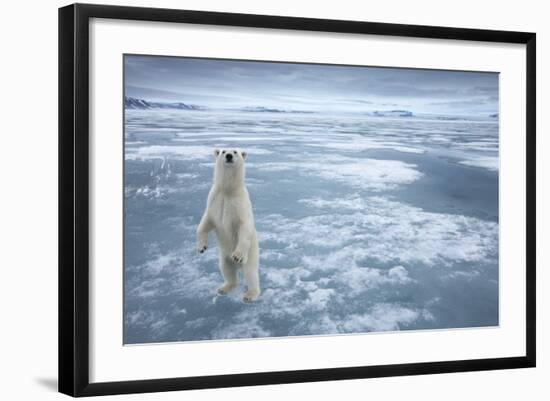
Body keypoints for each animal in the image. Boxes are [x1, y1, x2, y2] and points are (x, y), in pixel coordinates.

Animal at [197, 148, 262, 302]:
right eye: (222, 151)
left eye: (235, 151)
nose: (228, 156)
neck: (228, 191)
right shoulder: (214, 200)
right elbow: (206, 222)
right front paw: (201, 247)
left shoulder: (240, 204)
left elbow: (244, 226)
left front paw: (237, 255)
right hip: (223, 257)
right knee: (226, 270)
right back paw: (224, 288)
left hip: (251, 254)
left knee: (250, 273)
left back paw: (250, 295)